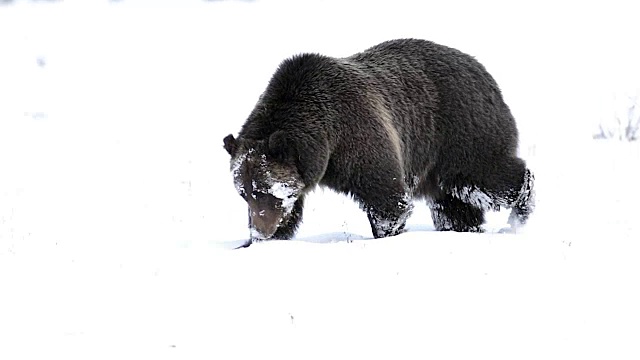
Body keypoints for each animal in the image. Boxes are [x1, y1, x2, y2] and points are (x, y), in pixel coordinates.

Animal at [224, 38, 536, 242]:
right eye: (244, 193)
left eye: (265, 191)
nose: (259, 230)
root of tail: (481, 68)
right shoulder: (300, 171)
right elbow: (292, 209)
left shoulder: (357, 135)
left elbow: (386, 196)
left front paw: (386, 233)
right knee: (453, 204)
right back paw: (464, 229)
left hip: (458, 131)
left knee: (481, 177)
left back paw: (520, 211)